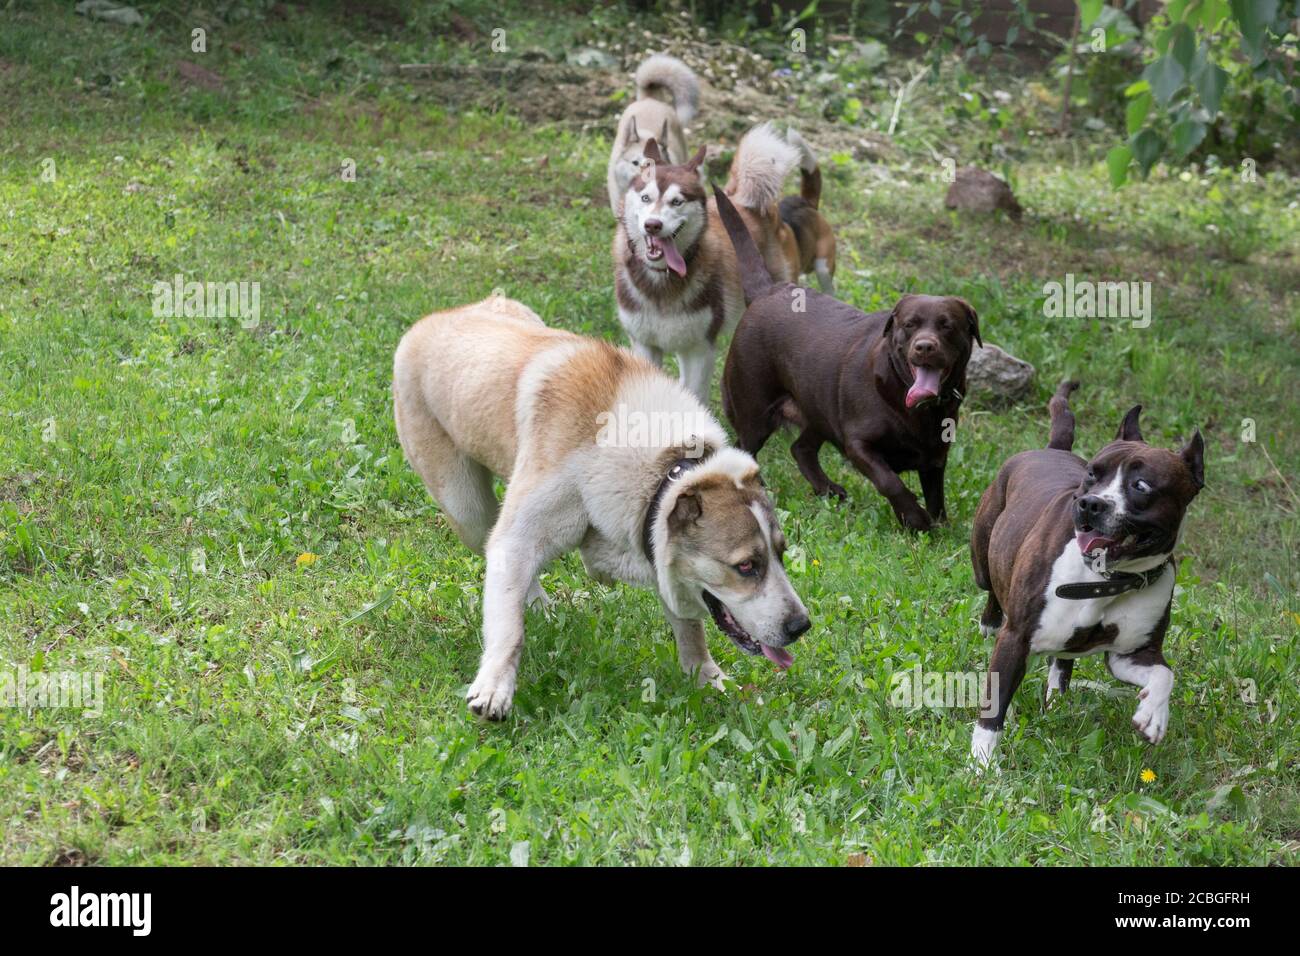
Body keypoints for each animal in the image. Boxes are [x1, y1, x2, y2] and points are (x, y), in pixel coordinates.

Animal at [390, 295, 806, 723]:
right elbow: (509, 626)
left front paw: (709, 680)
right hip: (466, 508)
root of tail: (431, 321)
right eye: (746, 566)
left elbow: (689, 630)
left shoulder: (650, 544)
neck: (663, 465)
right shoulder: (516, 538)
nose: (800, 626)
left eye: (781, 553)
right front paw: (494, 689)